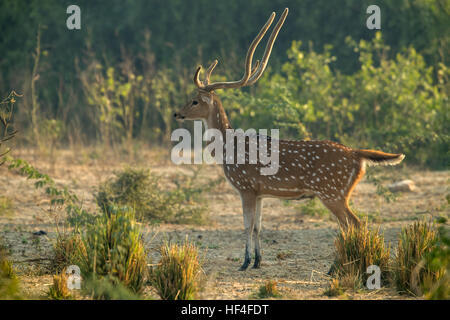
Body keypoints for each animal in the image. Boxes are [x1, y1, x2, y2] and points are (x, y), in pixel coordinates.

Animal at [173, 8, 404, 270]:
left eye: (194, 101)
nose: (177, 113)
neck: (227, 151)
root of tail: (357, 155)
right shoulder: (260, 191)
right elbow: (257, 227)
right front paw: (257, 261)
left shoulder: (245, 186)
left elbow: (246, 226)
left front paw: (244, 262)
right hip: (337, 193)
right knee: (352, 224)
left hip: (332, 191)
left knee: (354, 223)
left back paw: (337, 266)